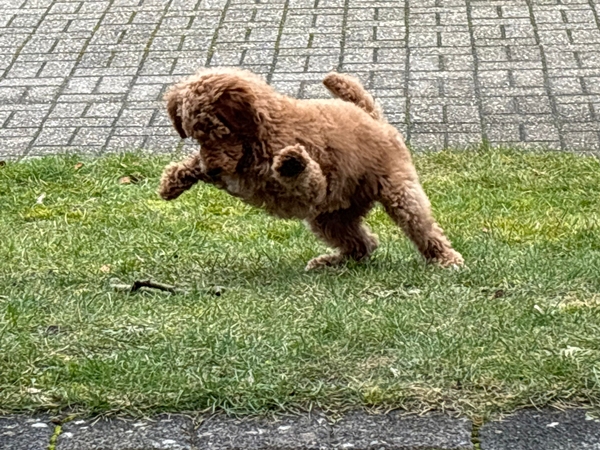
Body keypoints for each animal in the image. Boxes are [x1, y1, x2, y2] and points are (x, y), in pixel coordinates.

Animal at [159, 67, 463, 270]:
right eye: (195, 135)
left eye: (218, 132)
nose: (212, 171)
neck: (262, 132)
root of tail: (372, 116)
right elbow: (193, 164)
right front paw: (172, 181)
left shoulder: (310, 189)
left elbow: (306, 176)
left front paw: (291, 160)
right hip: (330, 218)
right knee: (363, 244)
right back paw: (331, 261)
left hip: (398, 192)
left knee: (422, 228)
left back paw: (446, 258)